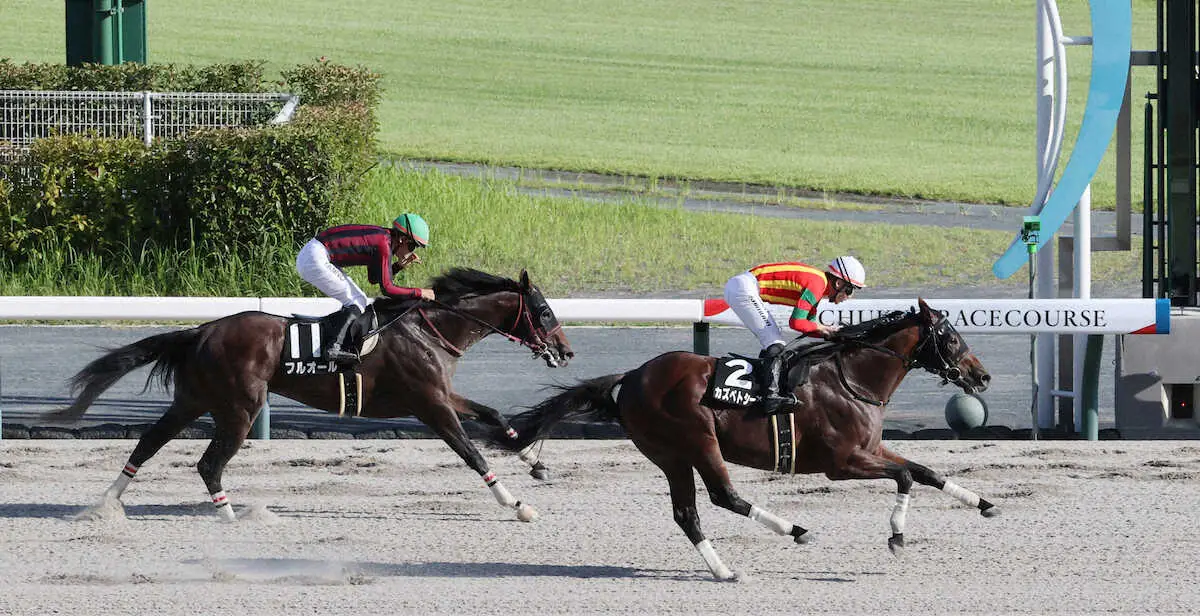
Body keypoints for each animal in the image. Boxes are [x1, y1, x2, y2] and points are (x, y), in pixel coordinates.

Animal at [55, 266, 576, 521]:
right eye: (545, 312)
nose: (566, 351)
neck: (431, 330)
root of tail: (201, 330)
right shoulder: (430, 405)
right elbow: (472, 454)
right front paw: (517, 505)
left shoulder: (443, 394)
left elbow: (494, 416)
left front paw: (534, 460)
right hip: (241, 407)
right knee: (208, 463)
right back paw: (231, 515)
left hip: (193, 399)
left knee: (148, 443)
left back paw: (105, 504)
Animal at [496, 300, 993, 578]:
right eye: (950, 337)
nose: (982, 376)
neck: (852, 377)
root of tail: (633, 376)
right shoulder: (842, 463)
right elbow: (905, 478)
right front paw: (896, 538)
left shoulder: (869, 449)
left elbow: (924, 470)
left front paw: (984, 503)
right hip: (696, 441)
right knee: (722, 496)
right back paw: (794, 532)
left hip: (671, 455)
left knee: (688, 513)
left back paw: (723, 569)